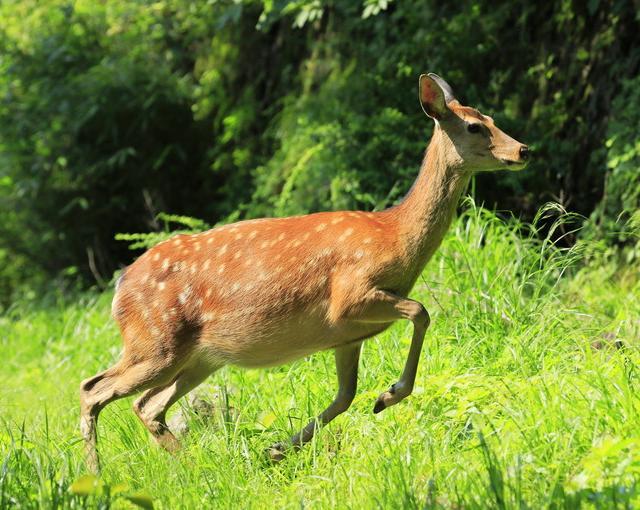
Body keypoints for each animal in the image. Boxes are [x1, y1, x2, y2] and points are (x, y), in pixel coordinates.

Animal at [80, 71, 528, 470]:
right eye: (474, 126)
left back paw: (196, 466)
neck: (395, 238)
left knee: (146, 404)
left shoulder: (347, 336)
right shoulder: (350, 296)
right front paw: (389, 393)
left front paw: (279, 448)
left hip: (199, 357)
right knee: (93, 389)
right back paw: (98, 475)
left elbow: (346, 395)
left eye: (490, 118)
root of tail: (119, 287)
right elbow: (421, 311)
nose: (523, 149)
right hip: (156, 340)